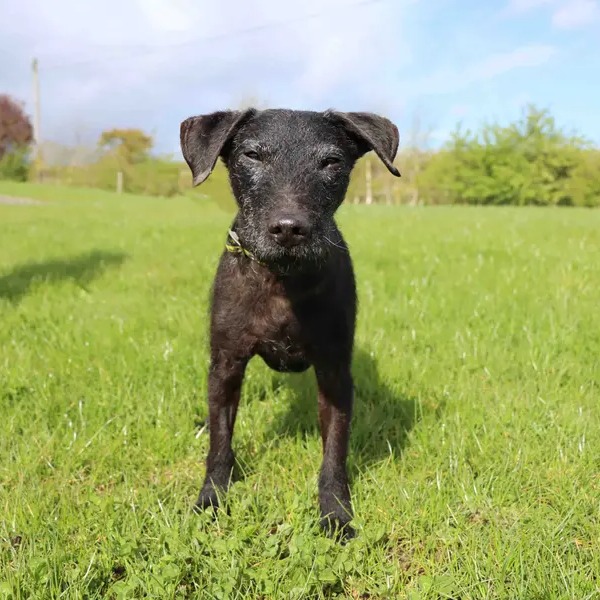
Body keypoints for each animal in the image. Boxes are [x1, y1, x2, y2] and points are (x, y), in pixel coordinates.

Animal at [180, 106, 400, 536]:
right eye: (252, 155)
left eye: (331, 161)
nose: (288, 228)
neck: (282, 280)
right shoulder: (226, 364)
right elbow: (220, 443)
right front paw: (211, 501)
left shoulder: (334, 373)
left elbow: (334, 453)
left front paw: (335, 514)